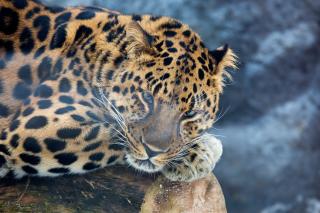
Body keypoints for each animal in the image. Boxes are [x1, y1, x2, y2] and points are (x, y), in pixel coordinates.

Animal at [0, 0, 236, 181]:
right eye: (147, 97)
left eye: (190, 113)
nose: (153, 151)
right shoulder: (28, 128)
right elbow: (113, 132)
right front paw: (202, 152)